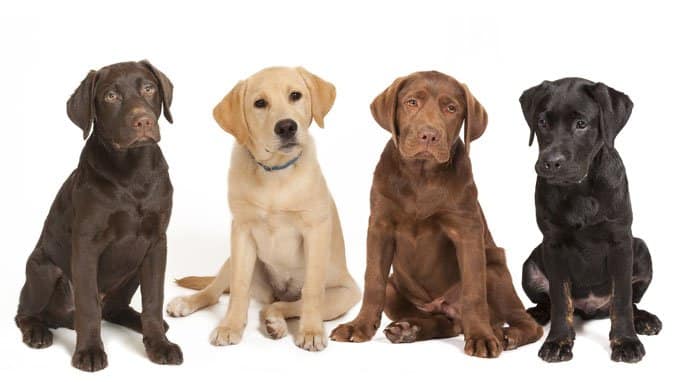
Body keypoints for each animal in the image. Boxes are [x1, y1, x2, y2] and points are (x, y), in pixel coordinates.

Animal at [16, 61, 183, 372]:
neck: (132, 172)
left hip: (134, 268)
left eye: (149, 88)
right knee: (26, 311)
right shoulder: (86, 245)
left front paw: (159, 345)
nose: (143, 121)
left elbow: (154, 300)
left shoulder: (156, 243)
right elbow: (88, 305)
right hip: (43, 269)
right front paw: (89, 351)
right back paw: (36, 331)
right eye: (110, 96)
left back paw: (140, 323)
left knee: (115, 309)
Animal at [167, 67, 358, 350]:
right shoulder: (241, 231)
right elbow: (238, 286)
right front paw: (230, 326)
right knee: (216, 292)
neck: (275, 172)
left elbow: (312, 290)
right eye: (260, 103)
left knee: (285, 305)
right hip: (233, 258)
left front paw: (311, 331)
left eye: (295, 95)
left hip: (343, 296)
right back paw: (187, 302)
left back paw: (276, 322)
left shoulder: (316, 231)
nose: (287, 126)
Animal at [330, 71, 540, 358]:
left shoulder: (467, 230)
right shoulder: (380, 226)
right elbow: (373, 281)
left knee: (526, 321)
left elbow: (474, 291)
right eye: (411, 102)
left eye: (451, 108)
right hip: (396, 288)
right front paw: (358, 326)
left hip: (494, 267)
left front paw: (481, 337)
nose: (428, 135)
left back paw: (504, 334)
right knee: (445, 323)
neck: (422, 175)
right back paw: (408, 329)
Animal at [520, 78, 660, 364]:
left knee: (631, 301)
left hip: (641, 248)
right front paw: (558, 341)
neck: (580, 189)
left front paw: (625, 341)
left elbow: (622, 300)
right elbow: (560, 299)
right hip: (529, 265)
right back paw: (535, 314)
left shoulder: (620, 241)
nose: (551, 162)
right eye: (542, 122)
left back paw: (645, 319)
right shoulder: (553, 244)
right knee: (548, 302)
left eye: (581, 124)